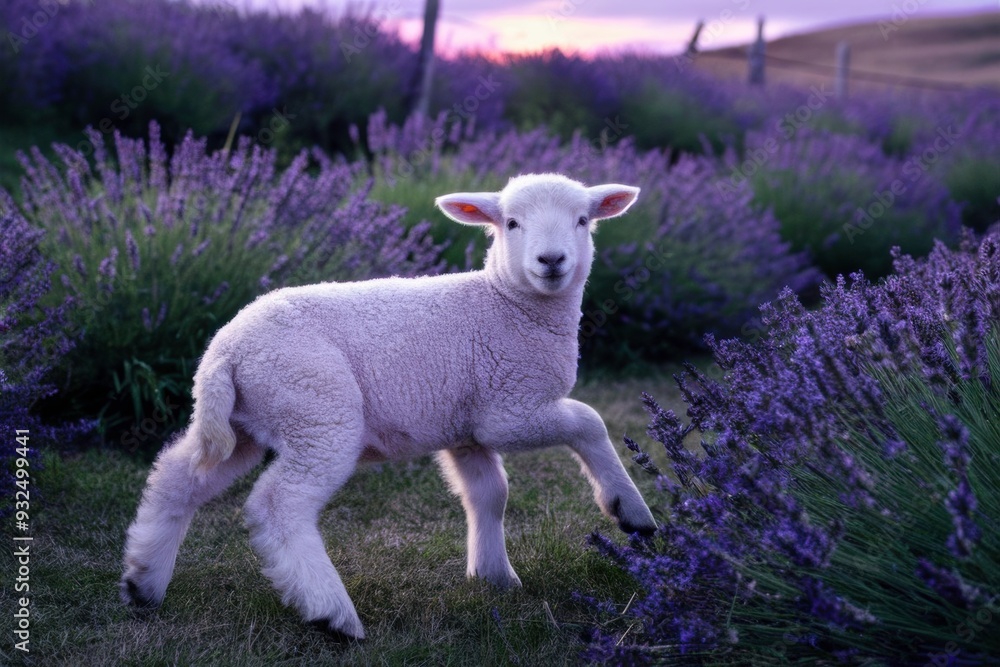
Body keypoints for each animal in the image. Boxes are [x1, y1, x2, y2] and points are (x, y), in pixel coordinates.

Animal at [119, 172, 657, 640]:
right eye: (511, 223)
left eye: (583, 220)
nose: (551, 260)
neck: (506, 303)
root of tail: (223, 353)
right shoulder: (508, 408)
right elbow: (588, 420)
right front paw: (629, 511)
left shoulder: (465, 427)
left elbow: (489, 494)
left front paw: (494, 577)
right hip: (318, 409)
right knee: (278, 504)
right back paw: (332, 614)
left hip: (246, 422)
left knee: (177, 474)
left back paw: (143, 581)